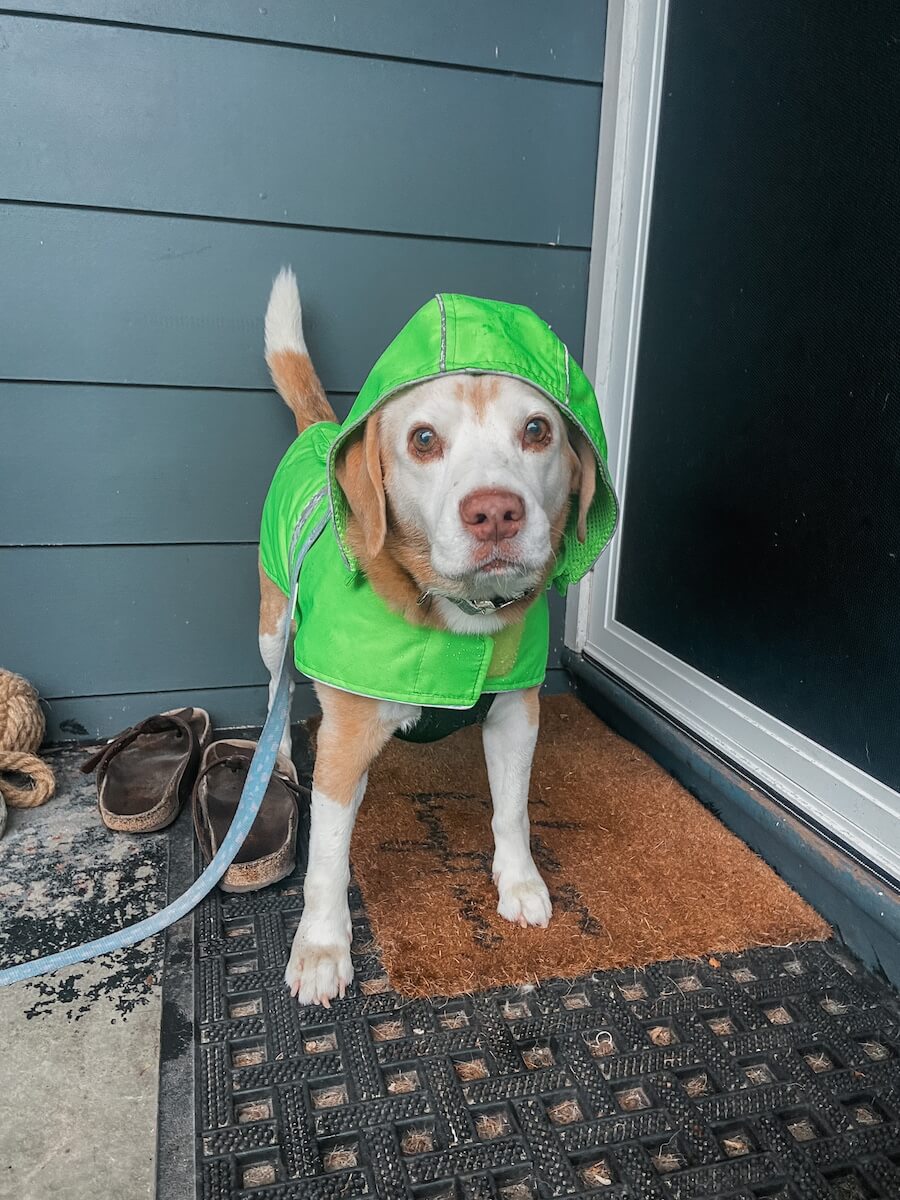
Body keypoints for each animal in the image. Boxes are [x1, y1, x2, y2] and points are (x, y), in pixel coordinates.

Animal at [256, 272, 619, 1003]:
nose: (495, 513)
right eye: (423, 440)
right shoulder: (343, 744)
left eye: (537, 430)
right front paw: (322, 947)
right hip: (273, 626)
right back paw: (277, 757)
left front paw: (520, 883)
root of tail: (321, 429)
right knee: (275, 694)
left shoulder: (516, 714)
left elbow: (512, 811)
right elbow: (326, 860)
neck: (460, 612)